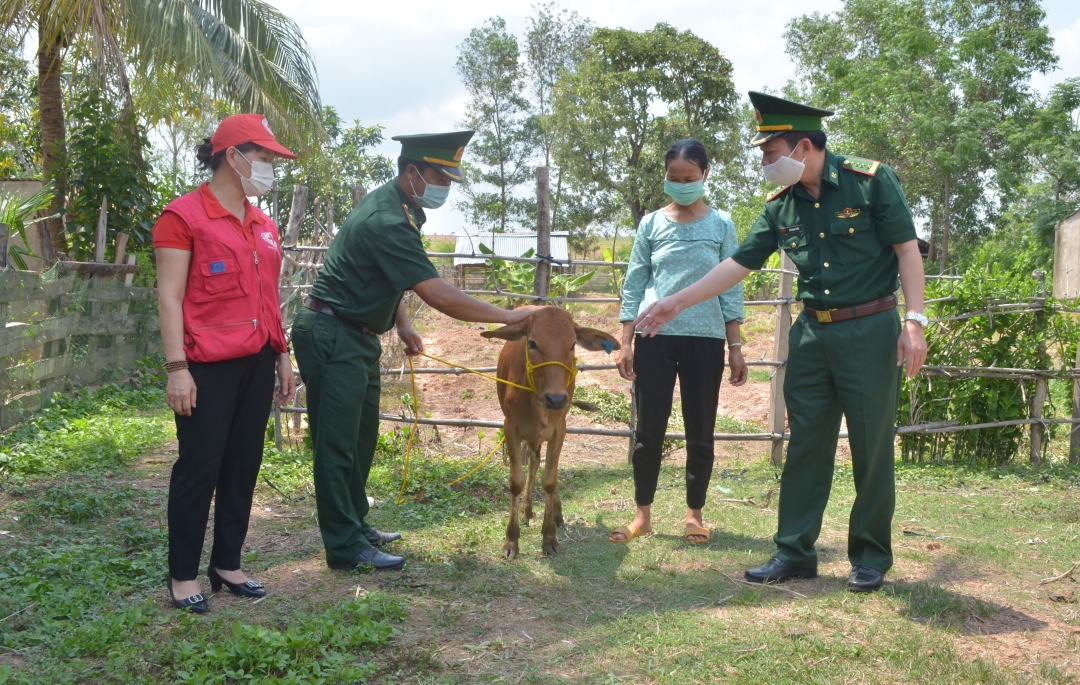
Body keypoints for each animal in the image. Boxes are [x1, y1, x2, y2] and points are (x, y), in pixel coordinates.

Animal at [483, 304, 622, 553]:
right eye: (532, 343)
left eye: (573, 344)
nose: (556, 399)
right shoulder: (511, 428)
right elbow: (516, 482)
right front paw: (511, 538)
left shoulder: (559, 430)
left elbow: (550, 480)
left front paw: (549, 536)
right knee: (534, 462)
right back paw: (526, 509)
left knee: (547, 467)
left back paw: (554, 512)